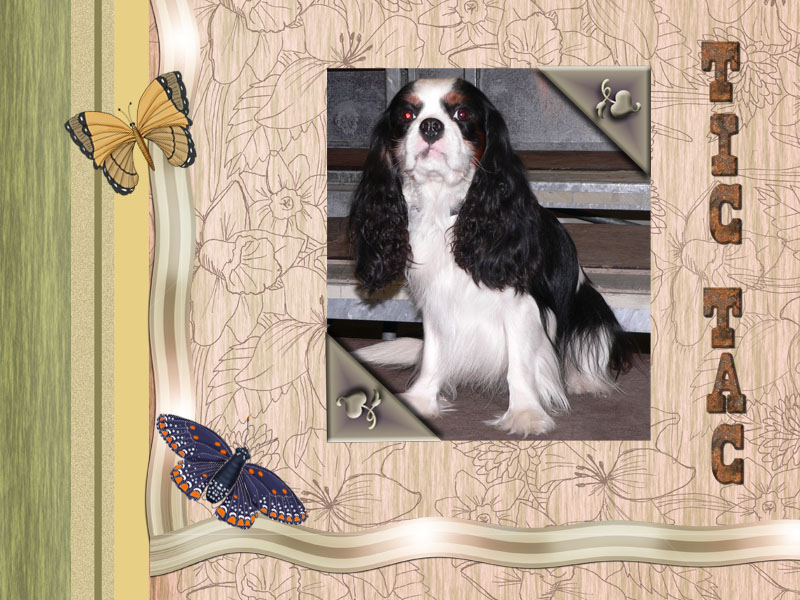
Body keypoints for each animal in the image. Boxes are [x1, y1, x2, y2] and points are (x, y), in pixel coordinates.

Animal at [347, 78, 633, 436]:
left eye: (462, 113)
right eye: (408, 115)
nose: (430, 126)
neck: (444, 210)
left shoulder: (521, 306)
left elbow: (519, 366)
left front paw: (525, 414)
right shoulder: (436, 303)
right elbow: (433, 355)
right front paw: (422, 400)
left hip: (592, 310)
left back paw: (582, 380)